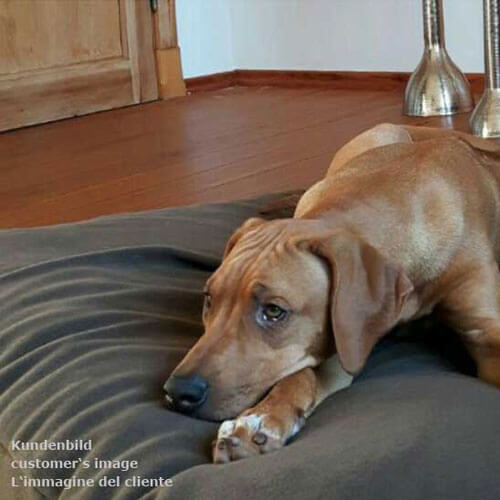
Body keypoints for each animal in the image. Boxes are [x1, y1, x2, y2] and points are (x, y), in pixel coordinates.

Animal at [163, 123, 500, 462]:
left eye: (274, 311)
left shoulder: (484, 331)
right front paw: (259, 419)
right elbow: (301, 372)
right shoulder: (347, 333)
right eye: (209, 299)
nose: (178, 392)